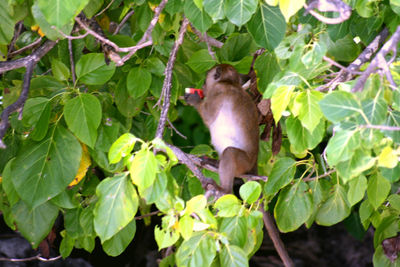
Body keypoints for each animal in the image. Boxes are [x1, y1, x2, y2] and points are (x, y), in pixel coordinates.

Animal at [185, 65, 260, 195]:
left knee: (230, 152)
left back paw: (225, 189)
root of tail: (253, 163)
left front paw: (195, 99)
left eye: (205, 81)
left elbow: (208, 117)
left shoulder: (218, 91)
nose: (203, 87)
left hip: (244, 164)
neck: (229, 82)